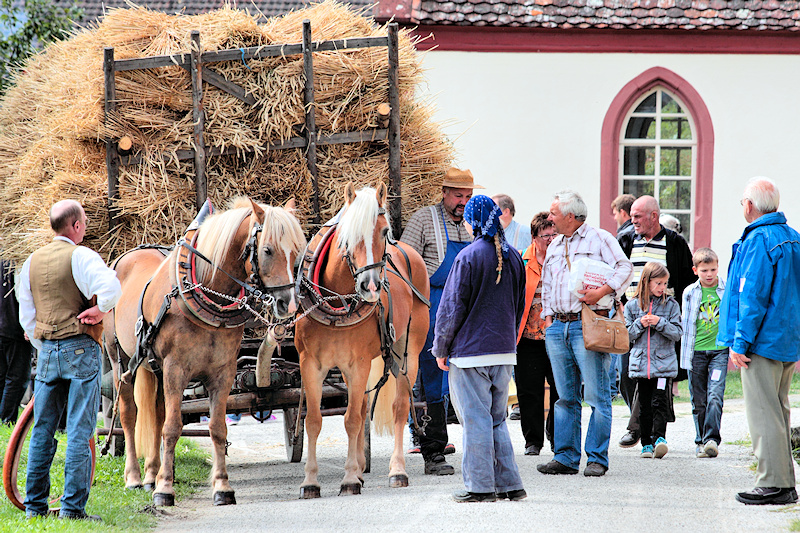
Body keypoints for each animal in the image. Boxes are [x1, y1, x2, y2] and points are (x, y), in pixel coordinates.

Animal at [104, 197, 304, 504]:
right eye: (267, 250)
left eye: (297, 250)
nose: (288, 304)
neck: (205, 294)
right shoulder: (176, 369)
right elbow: (173, 427)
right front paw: (165, 489)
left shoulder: (223, 372)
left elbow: (216, 428)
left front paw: (222, 487)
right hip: (120, 360)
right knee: (129, 414)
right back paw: (135, 478)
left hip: (155, 368)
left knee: (156, 414)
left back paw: (151, 475)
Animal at [296, 181, 432, 496]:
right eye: (348, 234)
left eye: (383, 232)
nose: (370, 286)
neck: (335, 305)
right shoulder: (311, 364)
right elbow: (314, 420)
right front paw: (310, 481)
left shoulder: (357, 363)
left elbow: (352, 419)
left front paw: (347, 479)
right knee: (361, 406)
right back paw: (359, 469)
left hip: (406, 353)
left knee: (399, 407)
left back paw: (397, 471)